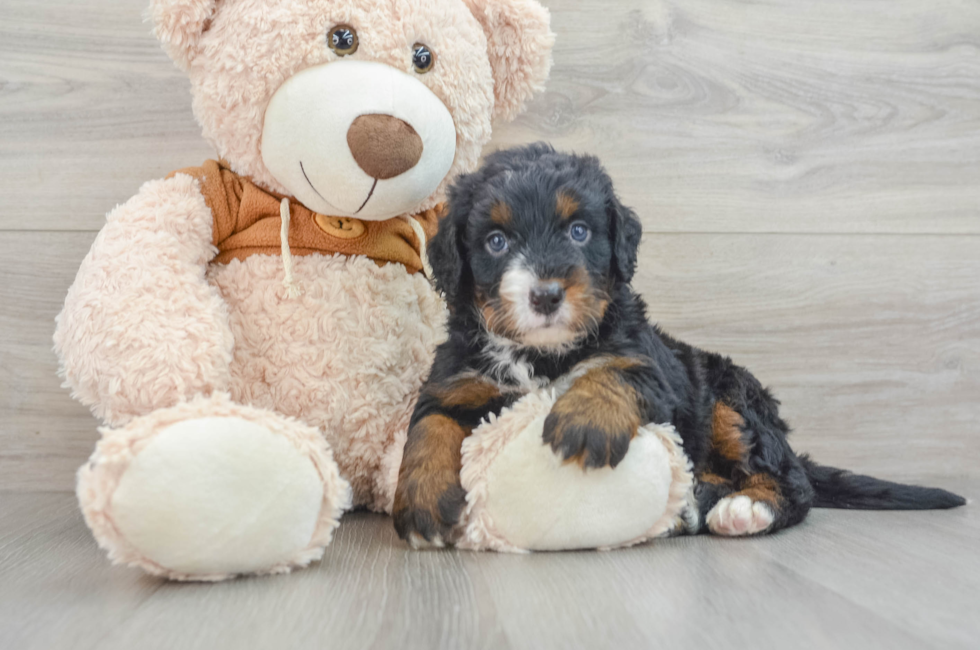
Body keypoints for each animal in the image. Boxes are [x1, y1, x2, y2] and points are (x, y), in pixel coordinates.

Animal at [390, 143, 964, 548]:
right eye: (496, 242)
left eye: (578, 231)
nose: (547, 294)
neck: (544, 355)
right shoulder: (458, 378)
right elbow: (429, 424)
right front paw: (419, 501)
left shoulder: (653, 364)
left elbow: (617, 370)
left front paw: (585, 421)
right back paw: (700, 499)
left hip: (732, 400)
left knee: (792, 479)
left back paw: (744, 508)